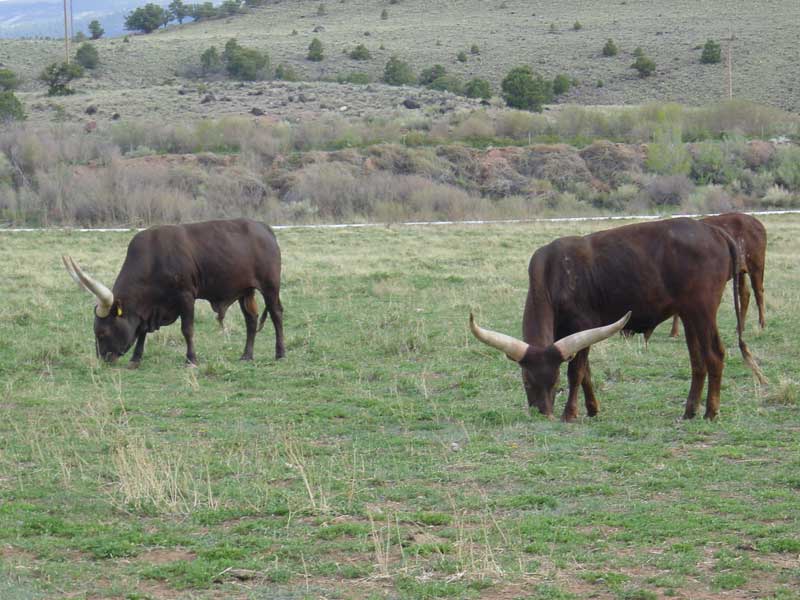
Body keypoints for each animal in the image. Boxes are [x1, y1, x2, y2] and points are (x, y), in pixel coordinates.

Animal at [64, 218, 286, 364]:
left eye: (102, 333)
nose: (103, 359)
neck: (152, 259)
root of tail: (264, 228)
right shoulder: (149, 309)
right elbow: (142, 331)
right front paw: (136, 358)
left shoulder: (186, 297)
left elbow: (187, 329)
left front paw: (191, 359)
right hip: (245, 291)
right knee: (251, 320)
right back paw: (246, 355)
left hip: (270, 286)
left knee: (276, 314)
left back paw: (280, 353)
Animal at [472, 218, 764, 420]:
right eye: (526, 380)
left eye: (553, 381)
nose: (543, 413)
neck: (554, 274)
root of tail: (713, 230)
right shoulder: (570, 335)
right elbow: (586, 373)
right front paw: (592, 409)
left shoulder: (583, 326)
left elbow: (576, 372)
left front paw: (570, 414)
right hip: (688, 314)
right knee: (698, 361)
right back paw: (689, 411)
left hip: (703, 310)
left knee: (714, 355)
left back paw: (711, 412)